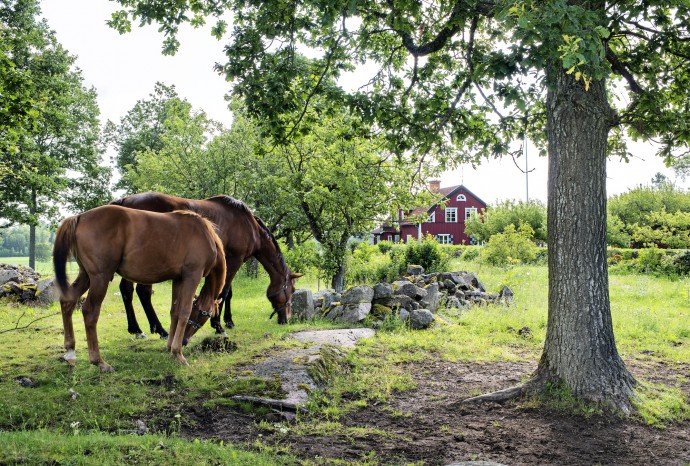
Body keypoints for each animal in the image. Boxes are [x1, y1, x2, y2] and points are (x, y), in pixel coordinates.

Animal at [54, 206, 226, 374]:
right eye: (204, 315)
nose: (184, 341)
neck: (204, 234)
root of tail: (79, 217)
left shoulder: (178, 279)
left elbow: (175, 312)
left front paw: (170, 348)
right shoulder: (192, 276)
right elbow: (184, 311)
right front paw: (178, 353)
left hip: (86, 276)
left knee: (67, 301)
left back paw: (70, 351)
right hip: (100, 278)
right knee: (90, 312)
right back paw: (99, 362)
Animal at [109, 191, 300, 336]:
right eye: (292, 290)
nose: (287, 319)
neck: (248, 223)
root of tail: (125, 200)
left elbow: (228, 293)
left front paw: (228, 321)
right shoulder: (235, 260)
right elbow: (224, 292)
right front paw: (218, 326)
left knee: (127, 290)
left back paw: (137, 329)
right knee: (142, 292)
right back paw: (160, 330)